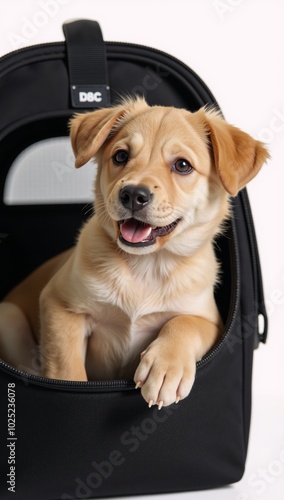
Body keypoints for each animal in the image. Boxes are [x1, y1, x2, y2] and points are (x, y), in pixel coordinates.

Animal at [0, 99, 268, 408]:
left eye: (183, 165)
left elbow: (184, 322)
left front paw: (166, 368)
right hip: (8, 317)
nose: (133, 195)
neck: (147, 265)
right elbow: (67, 367)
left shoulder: (213, 322)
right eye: (120, 156)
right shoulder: (60, 303)